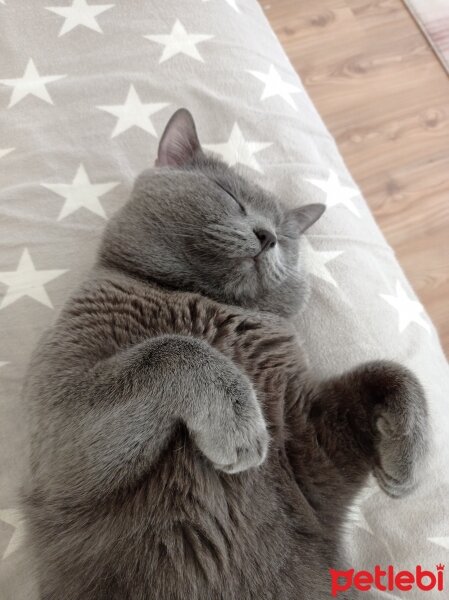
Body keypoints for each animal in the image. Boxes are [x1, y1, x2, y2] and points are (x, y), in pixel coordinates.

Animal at [23, 109, 428, 600]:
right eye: (230, 197)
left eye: (287, 236)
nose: (267, 235)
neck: (212, 304)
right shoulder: (55, 442)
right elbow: (175, 346)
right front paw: (241, 425)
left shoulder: (309, 450)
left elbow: (393, 372)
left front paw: (407, 466)